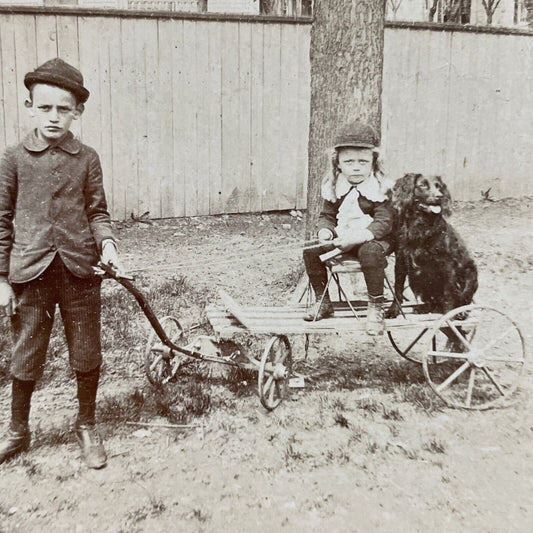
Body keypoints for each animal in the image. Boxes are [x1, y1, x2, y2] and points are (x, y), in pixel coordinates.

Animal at [384, 172, 476, 318]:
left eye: (439, 187)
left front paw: (448, 314)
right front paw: (393, 310)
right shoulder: (401, 260)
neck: (420, 225)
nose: (440, 196)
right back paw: (424, 308)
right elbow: (398, 288)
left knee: (463, 298)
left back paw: (460, 312)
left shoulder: (447, 264)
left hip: (470, 274)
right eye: (423, 185)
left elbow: (448, 292)